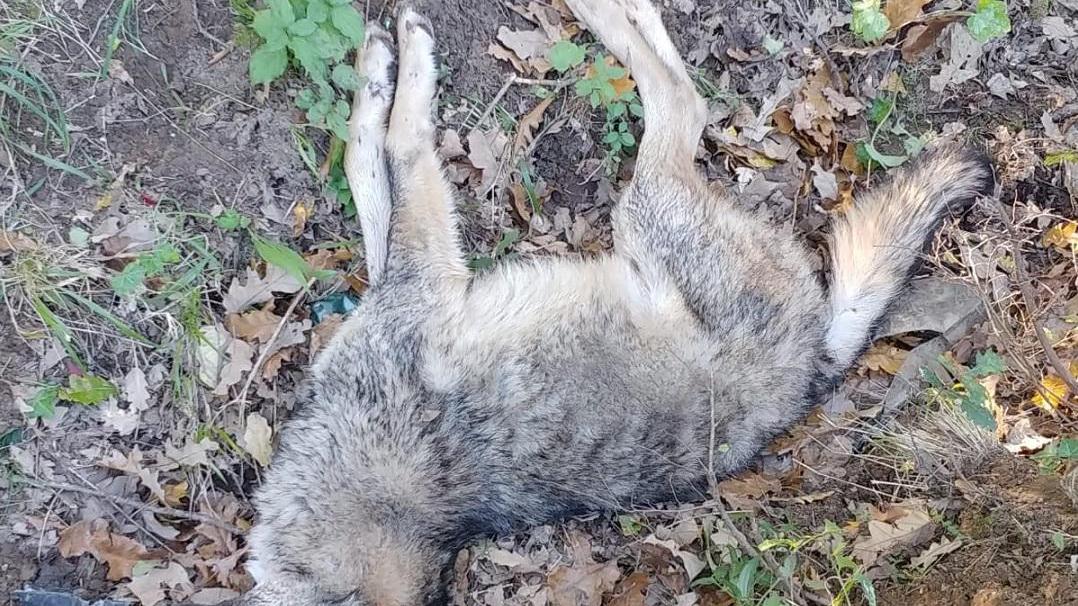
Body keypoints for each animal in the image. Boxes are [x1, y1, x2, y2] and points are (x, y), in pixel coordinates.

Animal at [238, 1, 993, 604]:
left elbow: (391, 151)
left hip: (645, 208)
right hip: (652, 215)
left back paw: (601, 11)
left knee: (683, 101)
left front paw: (392, 61)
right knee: (680, 99)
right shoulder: (415, 284)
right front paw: (378, 71)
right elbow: (374, 172)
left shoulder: (424, 278)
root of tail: (813, 371)